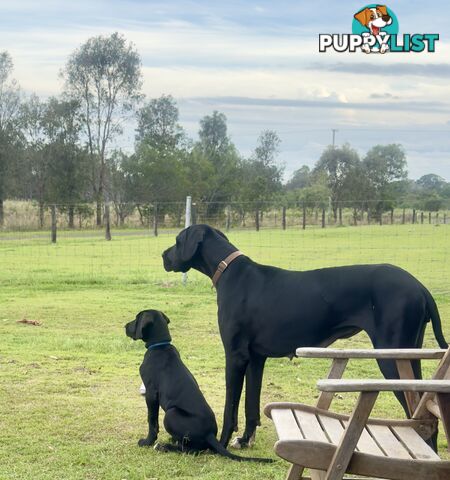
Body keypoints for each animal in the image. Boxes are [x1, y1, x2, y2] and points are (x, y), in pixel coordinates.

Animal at [123, 310, 270, 464]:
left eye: (136, 318)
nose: (124, 326)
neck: (160, 345)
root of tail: (209, 434)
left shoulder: (151, 393)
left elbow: (152, 420)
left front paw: (147, 442)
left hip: (171, 413)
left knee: (191, 450)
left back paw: (163, 446)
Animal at [161, 225, 446, 450]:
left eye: (177, 240)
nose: (163, 255)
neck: (229, 270)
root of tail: (420, 287)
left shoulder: (235, 356)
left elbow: (230, 406)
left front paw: (220, 443)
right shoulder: (255, 358)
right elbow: (251, 405)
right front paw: (245, 440)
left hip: (392, 357)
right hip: (410, 356)